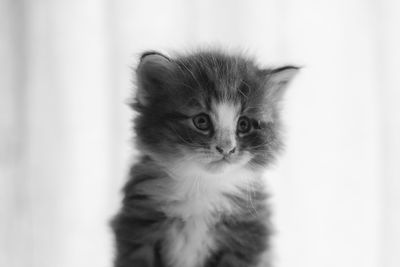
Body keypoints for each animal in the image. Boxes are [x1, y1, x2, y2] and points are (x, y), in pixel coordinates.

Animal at [111, 49, 298, 266]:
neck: (201, 186)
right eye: (201, 121)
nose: (226, 149)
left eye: (244, 124)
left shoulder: (247, 237)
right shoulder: (137, 229)